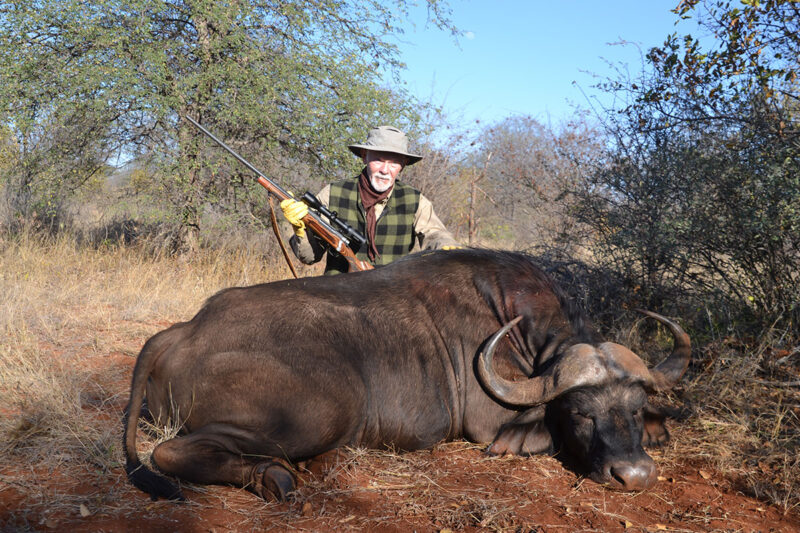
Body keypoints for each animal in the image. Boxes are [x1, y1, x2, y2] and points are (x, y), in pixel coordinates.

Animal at [123, 247, 688, 500]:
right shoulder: (493, 428)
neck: (522, 328)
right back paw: (275, 477)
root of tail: (183, 330)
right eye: (580, 413)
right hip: (327, 409)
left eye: (635, 409)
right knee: (169, 451)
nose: (634, 475)